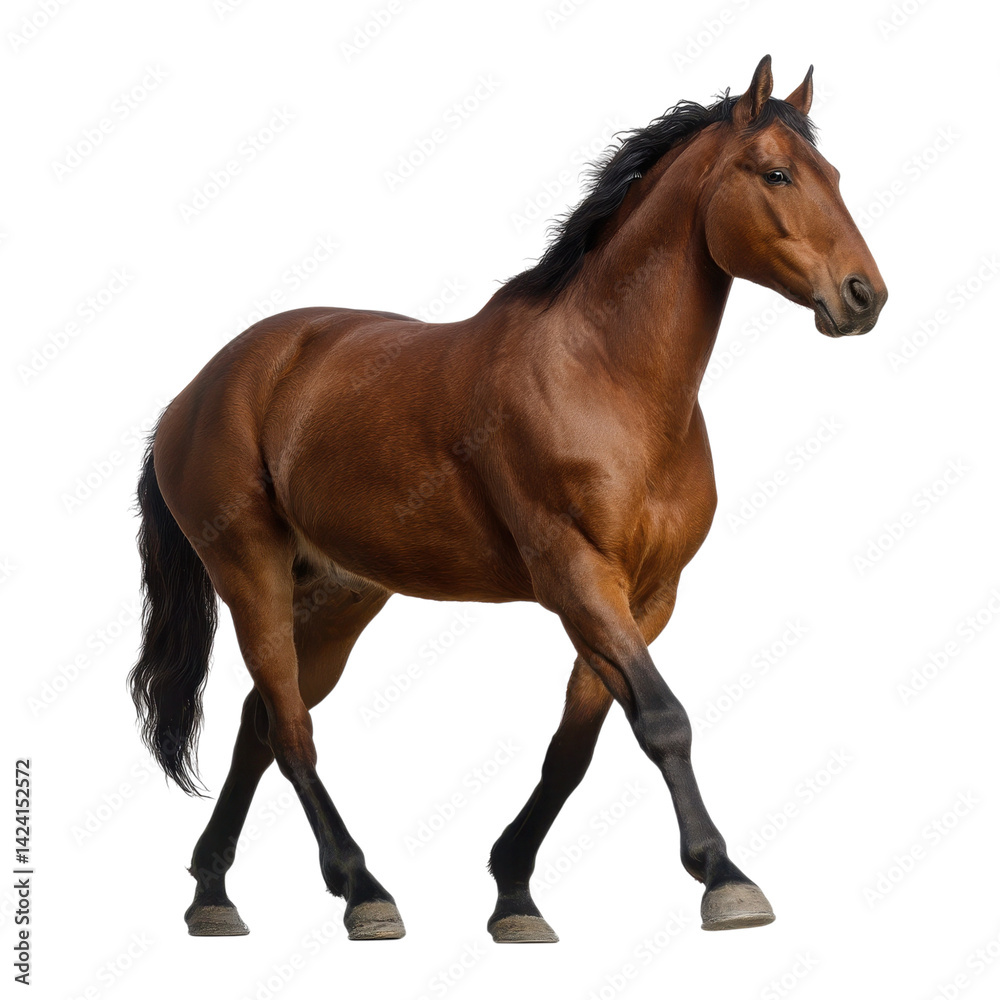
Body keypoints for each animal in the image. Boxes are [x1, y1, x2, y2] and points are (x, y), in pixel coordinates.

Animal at [129, 55, 886, 943]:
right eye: (776, 173)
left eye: (833, 175)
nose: (864, 295)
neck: (603, 376)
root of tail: (195, 392)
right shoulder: (576, 576)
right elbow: (664, 720)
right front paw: (724, 879)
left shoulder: (647, 596)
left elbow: (577, 746)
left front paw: (515, 894)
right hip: (248, 571)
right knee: (290, 731)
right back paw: (361, 890)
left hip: (340, 595)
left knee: (259, 723)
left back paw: (214, 892)